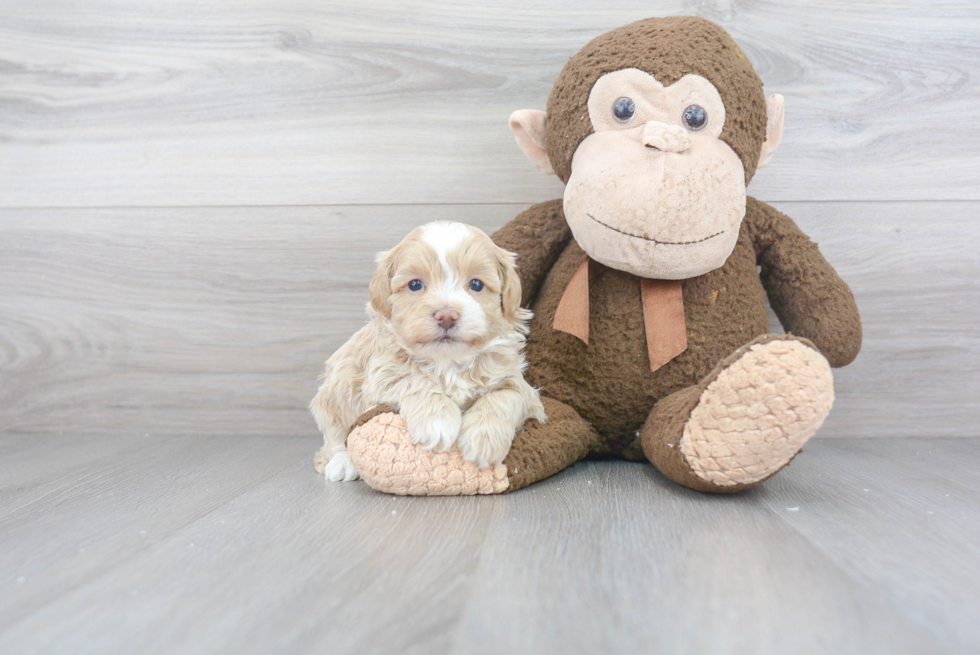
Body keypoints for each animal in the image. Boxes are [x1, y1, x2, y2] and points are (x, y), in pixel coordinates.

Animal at [312, 220, 548, 482]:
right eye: (415, 284)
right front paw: (437, 421)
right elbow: (414, 379)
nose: (446, 315)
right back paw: (342, 462)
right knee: (334, 434)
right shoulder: (381, 374)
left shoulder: (520, 386)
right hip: (337, 386)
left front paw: (483, 438)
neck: (450, 362)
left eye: (476, 284)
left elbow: (506, 396)